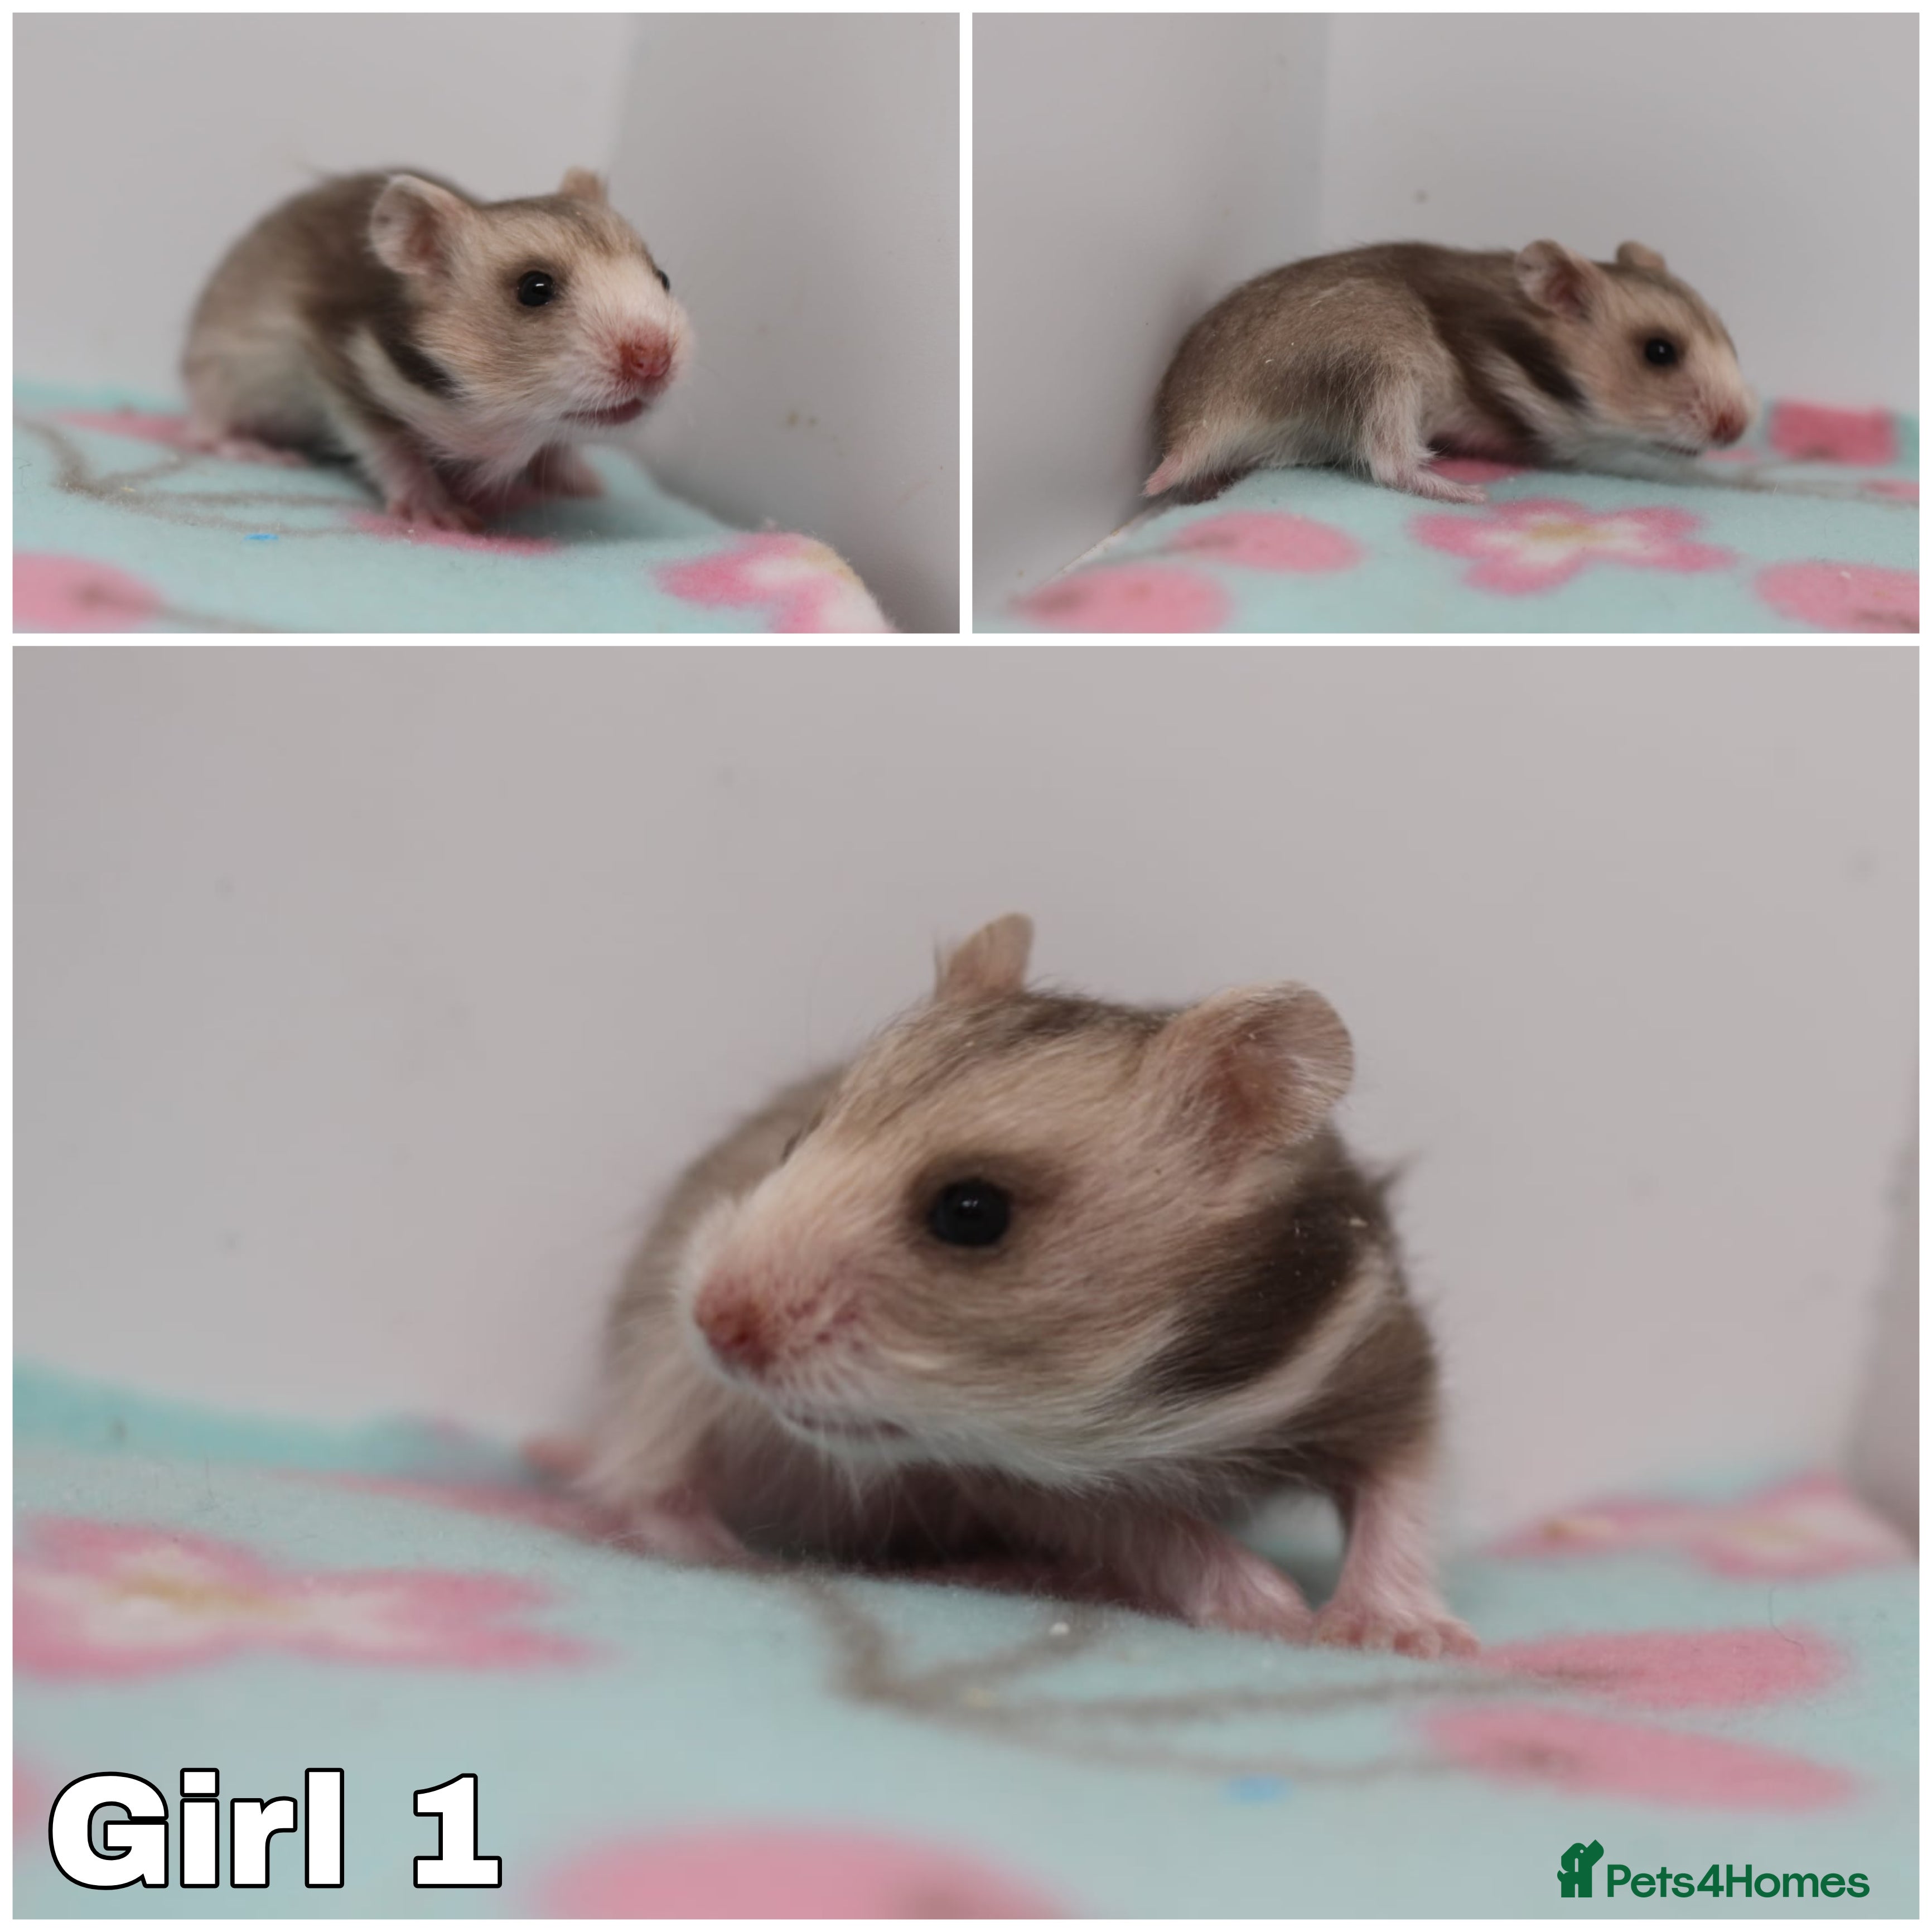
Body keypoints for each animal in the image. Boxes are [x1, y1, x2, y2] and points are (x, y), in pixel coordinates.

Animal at [182, 168, 691, 532]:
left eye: (664, 278)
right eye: (534, 289)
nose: (655, 361)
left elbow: (559, 447)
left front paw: (585, 484)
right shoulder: (347, 373)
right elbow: (392, 447)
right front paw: (441, 515)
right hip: (218, 376)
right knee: (206, 428)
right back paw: (256, 451)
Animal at [585, 915, 1475, 1658]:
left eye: (971, 1212)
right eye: (796, 1141)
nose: (711, 1324)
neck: (1159, 1397)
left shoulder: (1378, 1346)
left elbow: (1400, 1481)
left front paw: (1403, 1637)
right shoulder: (1001, 1474)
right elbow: (1144, 1524)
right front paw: (1274, 1612)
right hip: (660, 1365)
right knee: (645, 1473)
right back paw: (727, 1555)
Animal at [1146, 240, 1755, 506]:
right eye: (1659, 351)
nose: (1739, 430)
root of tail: (1189, 433)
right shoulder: (1563, 435)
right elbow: (1653, 463)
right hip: (1384, 353)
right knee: (1389, 463)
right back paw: (1468, 494)